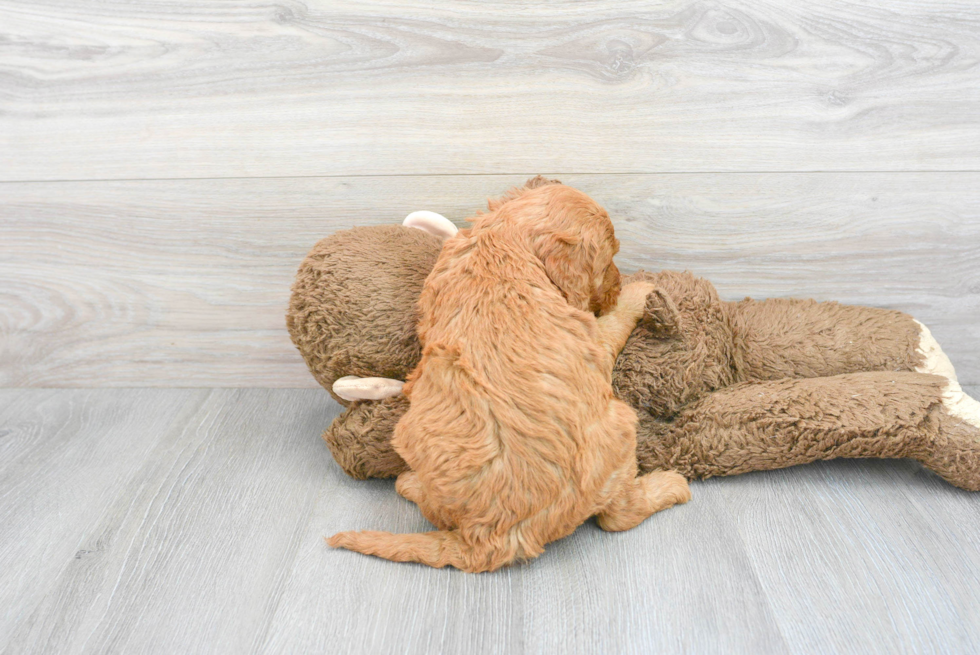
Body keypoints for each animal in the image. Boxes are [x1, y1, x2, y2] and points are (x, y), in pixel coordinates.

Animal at [330, 182, 688, 572]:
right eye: (608, 260)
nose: (617, 287)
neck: (505, 242)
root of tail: (488, 539)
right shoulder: (592, 340)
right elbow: (615, 321)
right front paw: (640, 289)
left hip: (409, 435)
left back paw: (409, 483)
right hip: (621, 428)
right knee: (617, 516)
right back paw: (672, 485)